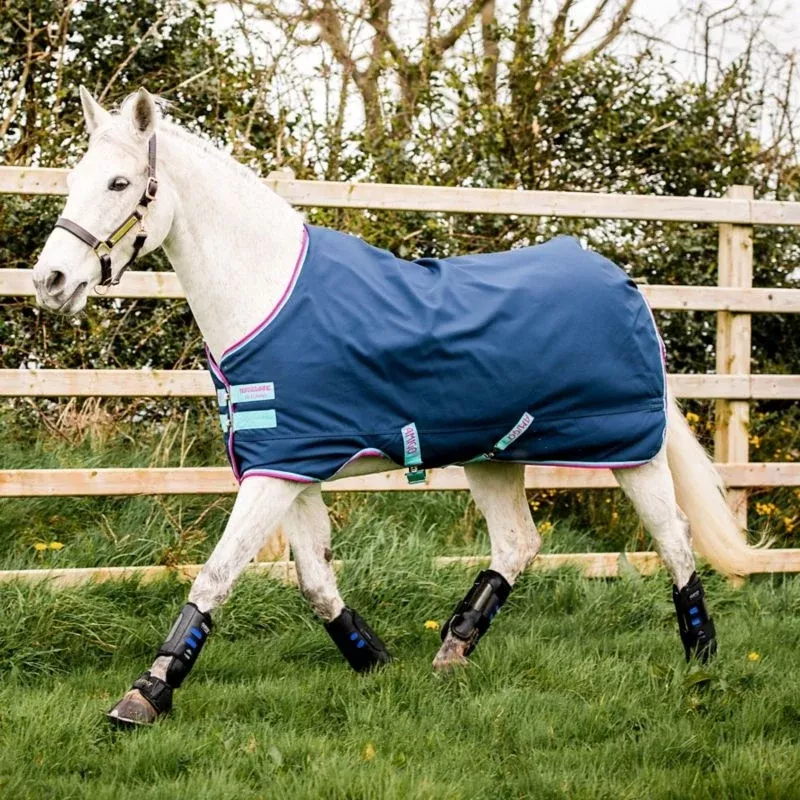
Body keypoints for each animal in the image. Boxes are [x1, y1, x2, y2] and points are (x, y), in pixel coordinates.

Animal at [32, 88, 756, 727]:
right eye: (75, 179)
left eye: (120, 183)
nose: (50, 281)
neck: (265, 296)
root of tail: (621, 280)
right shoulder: (290, 466)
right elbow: (315, 580)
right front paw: (373, 659)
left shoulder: (275, 474)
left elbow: (215, 576)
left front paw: (145, 695)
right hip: (493, 455)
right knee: (518, 543)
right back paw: (453, 649)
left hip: (631, 451)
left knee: (674, 538)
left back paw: (701, 658)